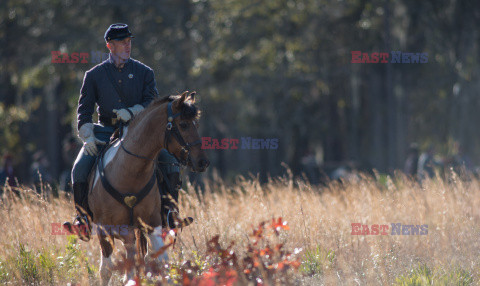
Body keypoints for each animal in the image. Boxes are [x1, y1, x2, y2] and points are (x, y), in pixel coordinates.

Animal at [87, 91, 209, 284]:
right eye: (183, 124)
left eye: (196, 124)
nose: (203, 162)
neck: (129, 174)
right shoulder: (104, 229)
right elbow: (105, 271)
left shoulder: (153, 223)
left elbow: (162, 264)